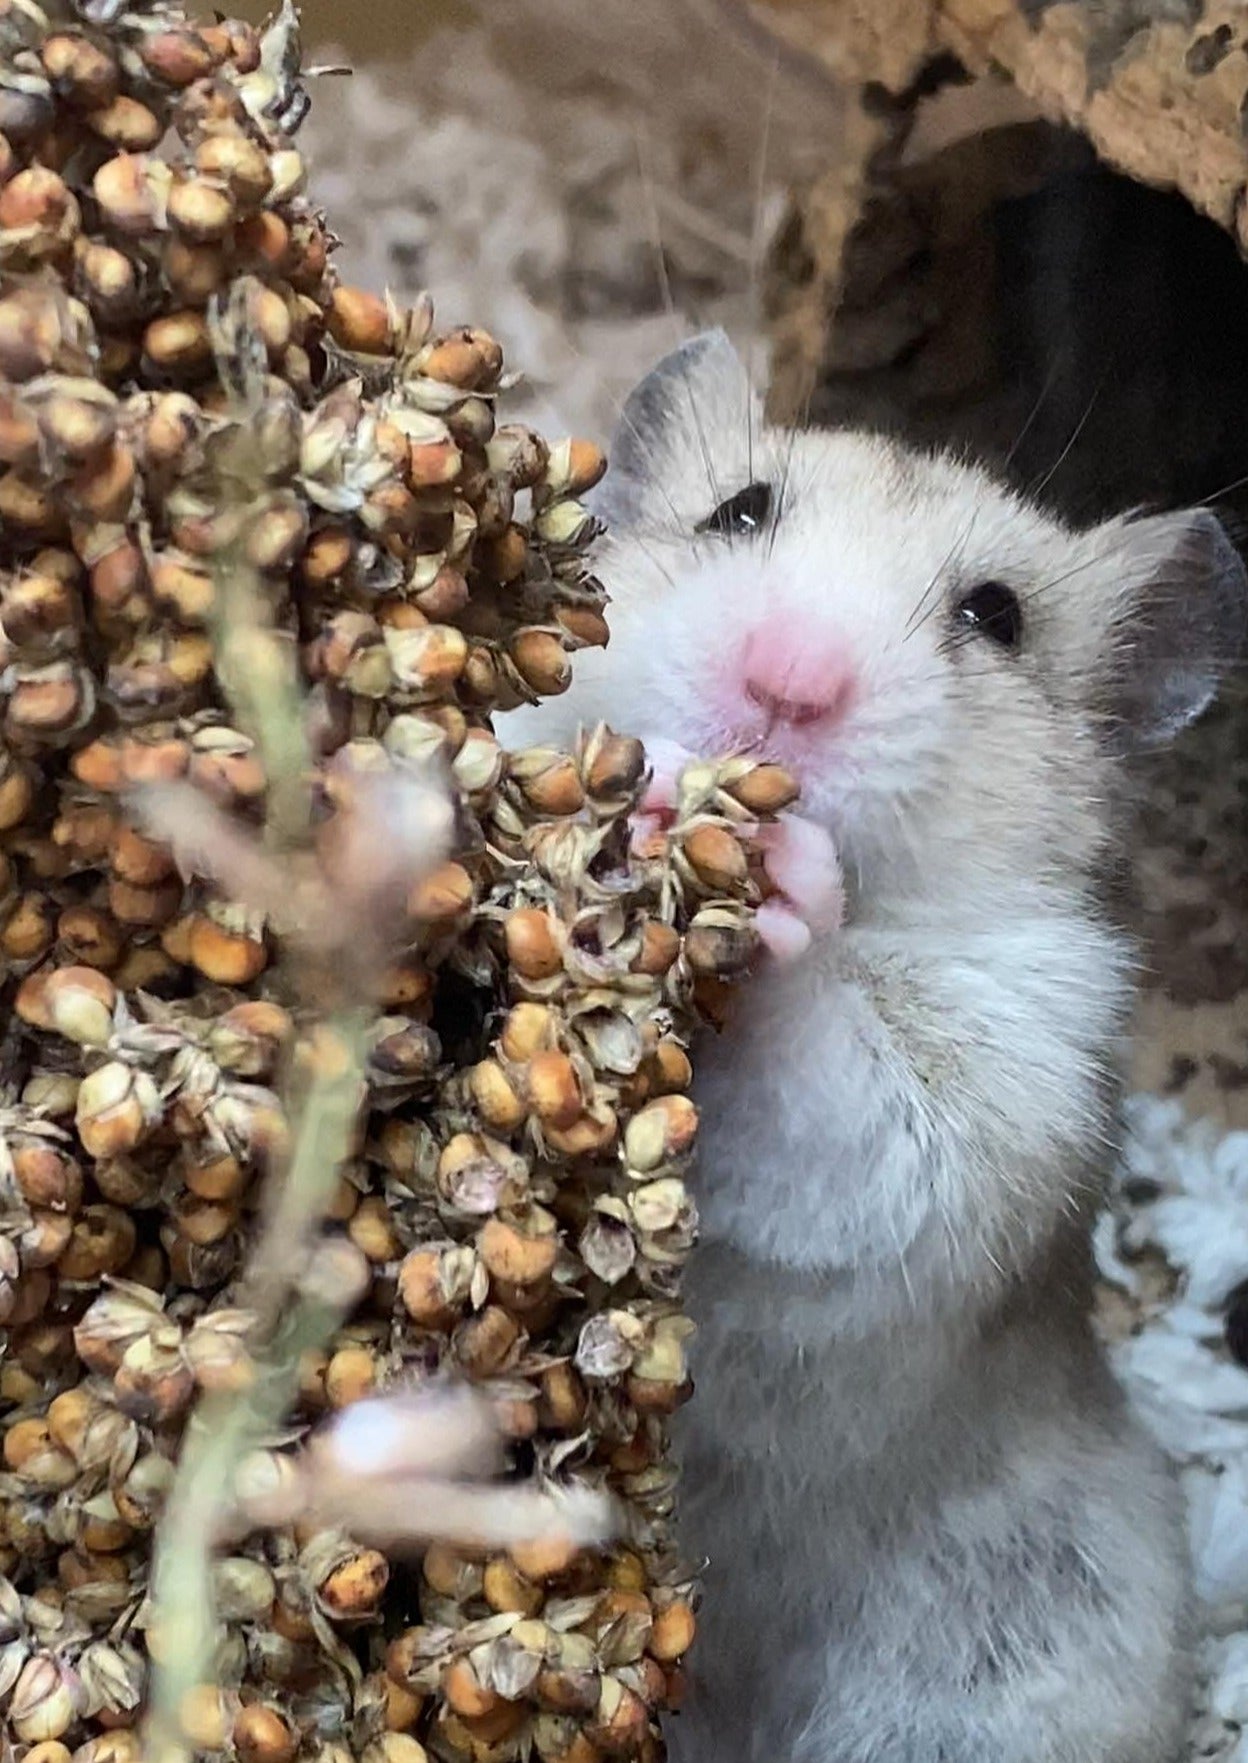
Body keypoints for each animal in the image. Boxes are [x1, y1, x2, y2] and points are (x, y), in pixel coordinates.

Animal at [500, 333, 1248, 1763]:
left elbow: (848, 1091)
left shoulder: (1006, 1081)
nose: (787, 684)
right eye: (739, 512)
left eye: (998, 617)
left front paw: (780, 871)